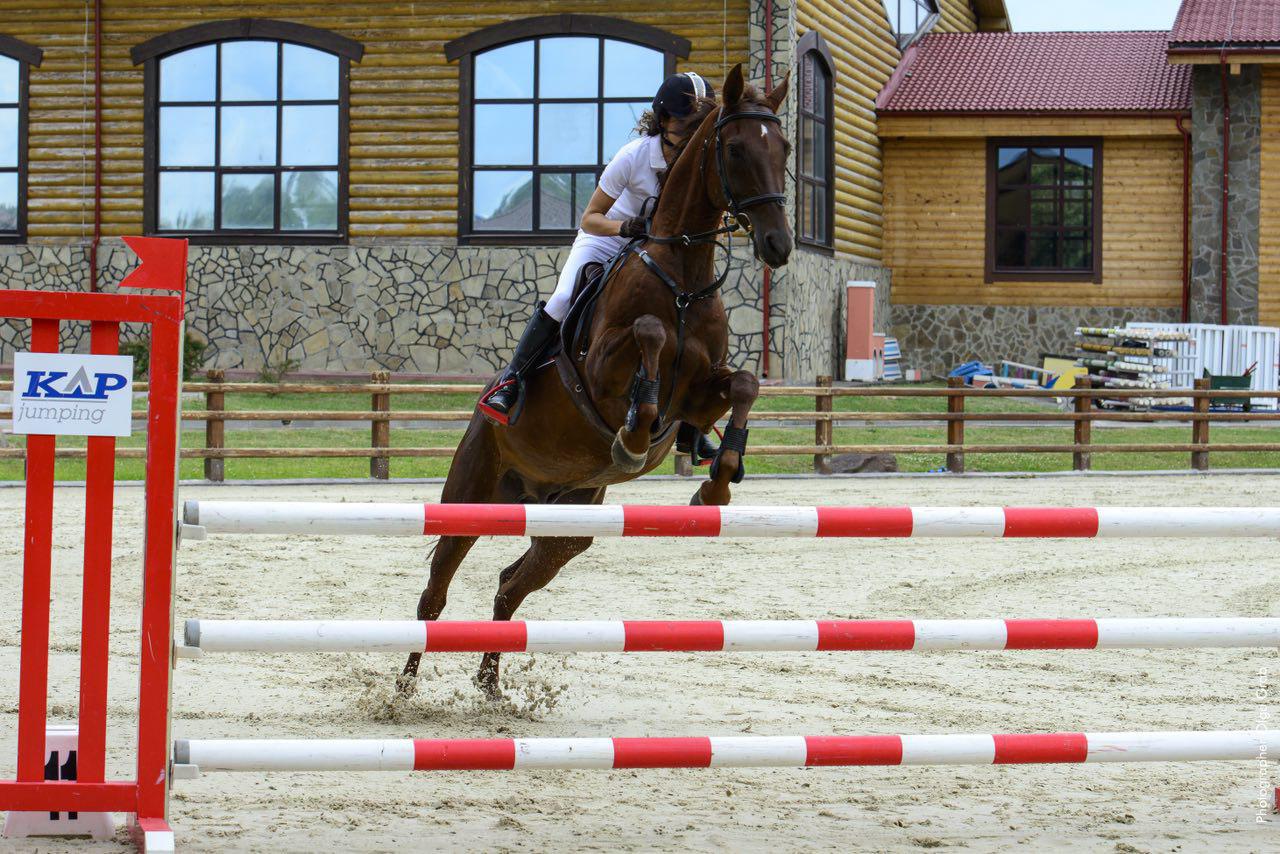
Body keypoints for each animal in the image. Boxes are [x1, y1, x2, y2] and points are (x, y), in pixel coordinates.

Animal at [404, 66, 793, 696]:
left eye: (782, 148)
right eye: (735, 149)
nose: (778, 246)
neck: (683, 281)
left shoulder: (697, 397)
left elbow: (743, 386)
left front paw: (717, 481)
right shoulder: (602, 368)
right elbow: (649, 335)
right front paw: (632, 438)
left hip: (570, 523)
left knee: (511, 584)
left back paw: (489, 686)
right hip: (470, 495)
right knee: (434, 592)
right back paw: (403, 691)